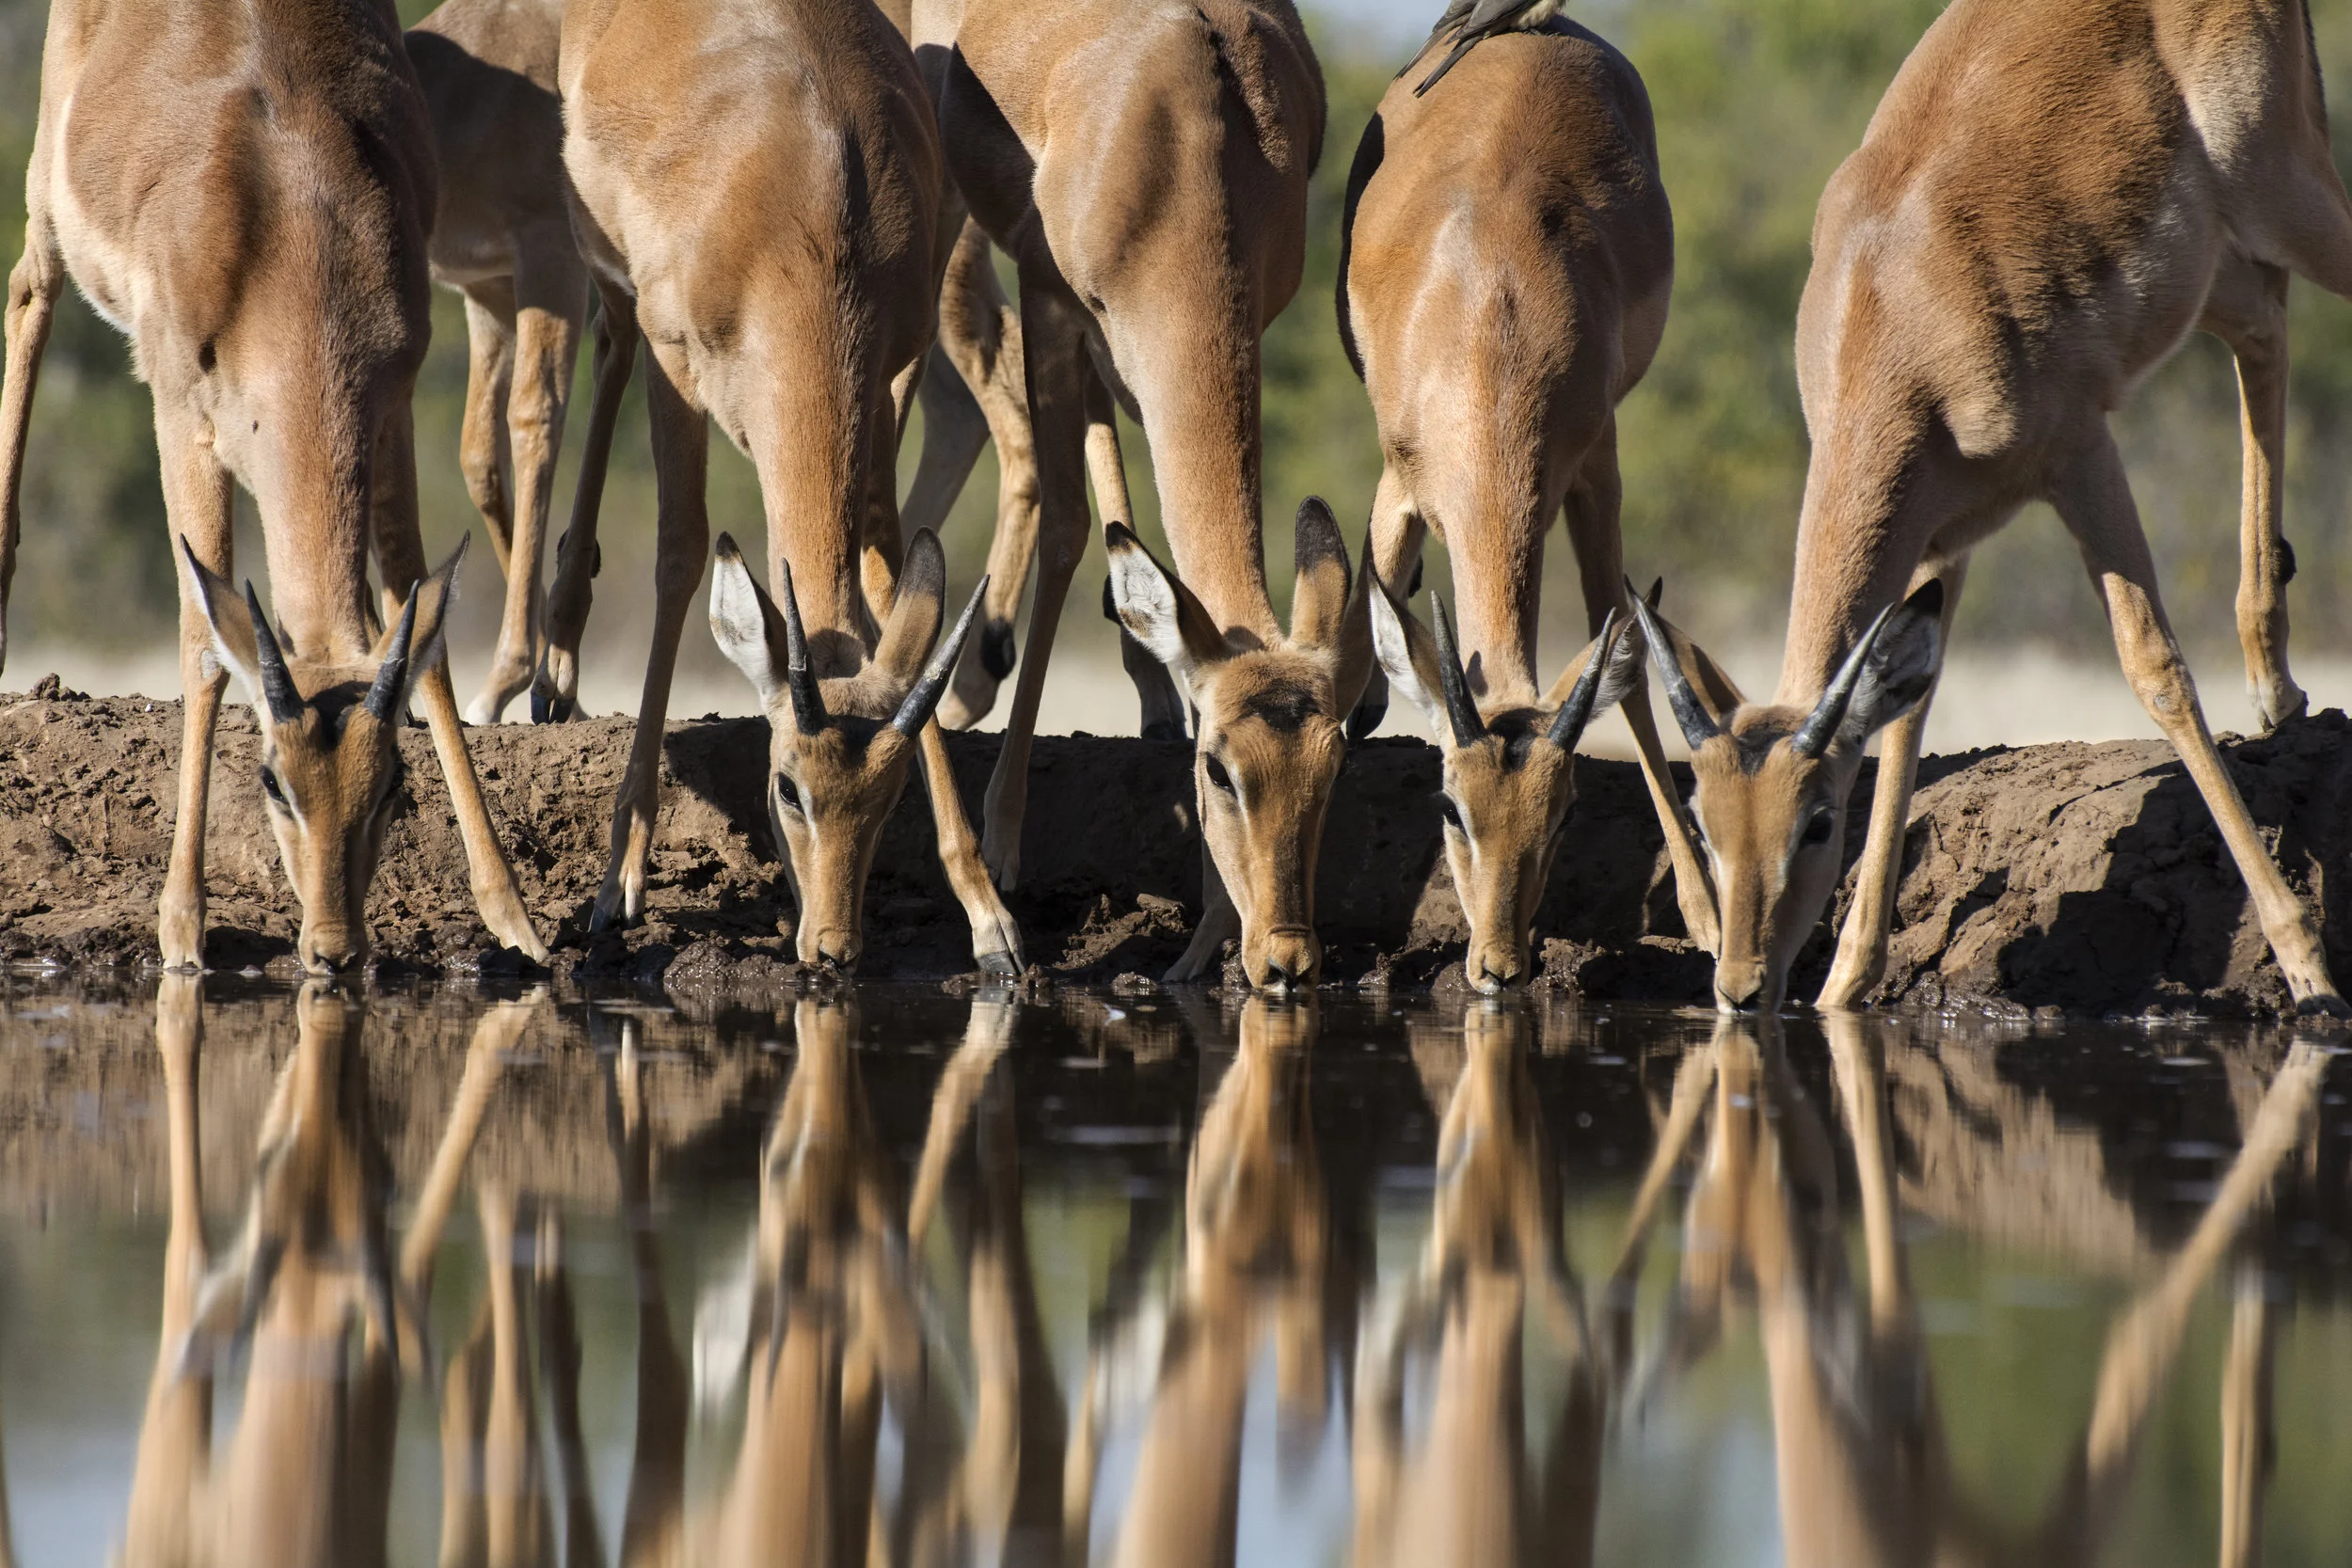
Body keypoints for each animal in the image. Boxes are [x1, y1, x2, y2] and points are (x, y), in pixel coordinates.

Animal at [0, 0, 547, 973]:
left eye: (391, 784)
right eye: (271, 781)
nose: (334, 949)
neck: (295, 227)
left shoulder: (391, 407)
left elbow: (419, 617)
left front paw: (513, 914)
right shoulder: (179, 410)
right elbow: (198, 639)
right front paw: (182, 925)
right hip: (47, 210)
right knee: (28, 294)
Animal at [556, 0, 1024, 972]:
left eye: (887, 793)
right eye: (785, 786)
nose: (834, 948)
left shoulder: (891, 367)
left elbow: (887, 574)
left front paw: (989, 916)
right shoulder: (676, 365)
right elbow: (680, 554)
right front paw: (619, 880)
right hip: (613, 287)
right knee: (606, 347)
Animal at [922, 0, 1375, 986]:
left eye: (1333, 767)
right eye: (1220, 769)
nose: (1286, 956)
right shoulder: (1050, 298)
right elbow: (1067, 526)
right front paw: (1004, 844)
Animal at [1344, 15, 1717, 990]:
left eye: (1564, 811)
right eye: (1449, 805)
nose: (1498, 967)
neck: (1487, 320)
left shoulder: (1598, 468)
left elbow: (1626, 653)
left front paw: (1707, 912)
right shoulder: (1397, 483)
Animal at [1635, 0, 2352, 1014]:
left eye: (1816, 819)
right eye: (1702, 816)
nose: (1739, 985)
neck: (1895, 301)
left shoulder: (2080, 452)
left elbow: (2155, 665)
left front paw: (2309, 969)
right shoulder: (1943, 534)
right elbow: (1907, 713)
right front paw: (1844, 984)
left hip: (2291, 196)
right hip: (2222, 263)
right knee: (2264, 324)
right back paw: (2276, 690)